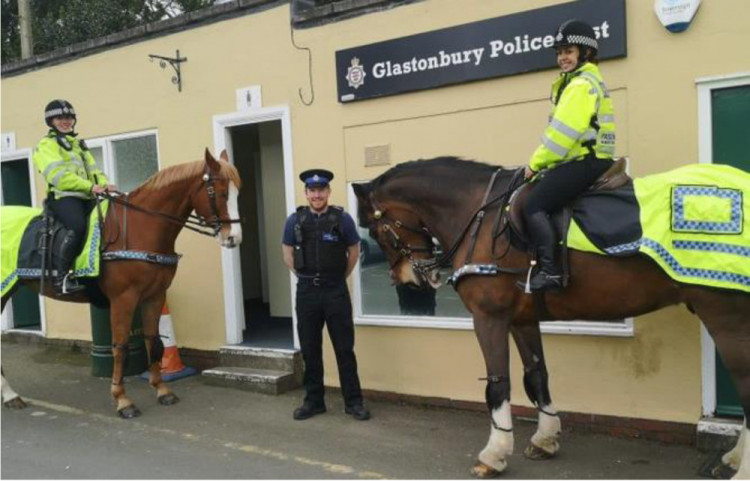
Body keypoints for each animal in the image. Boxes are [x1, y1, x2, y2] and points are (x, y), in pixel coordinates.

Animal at [0, 148, 241, 418]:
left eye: (237, 191)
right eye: (219, 192)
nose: (234, 238)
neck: (141, 228)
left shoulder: (154, 296)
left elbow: (153, 342)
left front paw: (161, 390)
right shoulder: (123, 299)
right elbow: (120, 348)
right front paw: (122, 400)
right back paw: (10, 394)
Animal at [352, 158, 750, 476]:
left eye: (374, 228)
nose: (406, 278)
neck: (482, 215)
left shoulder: (489, 318)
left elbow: (498, 385)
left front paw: (494, 453)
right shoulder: (522, 319)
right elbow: (537, 376)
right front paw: (545, 438)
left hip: (727, 317)